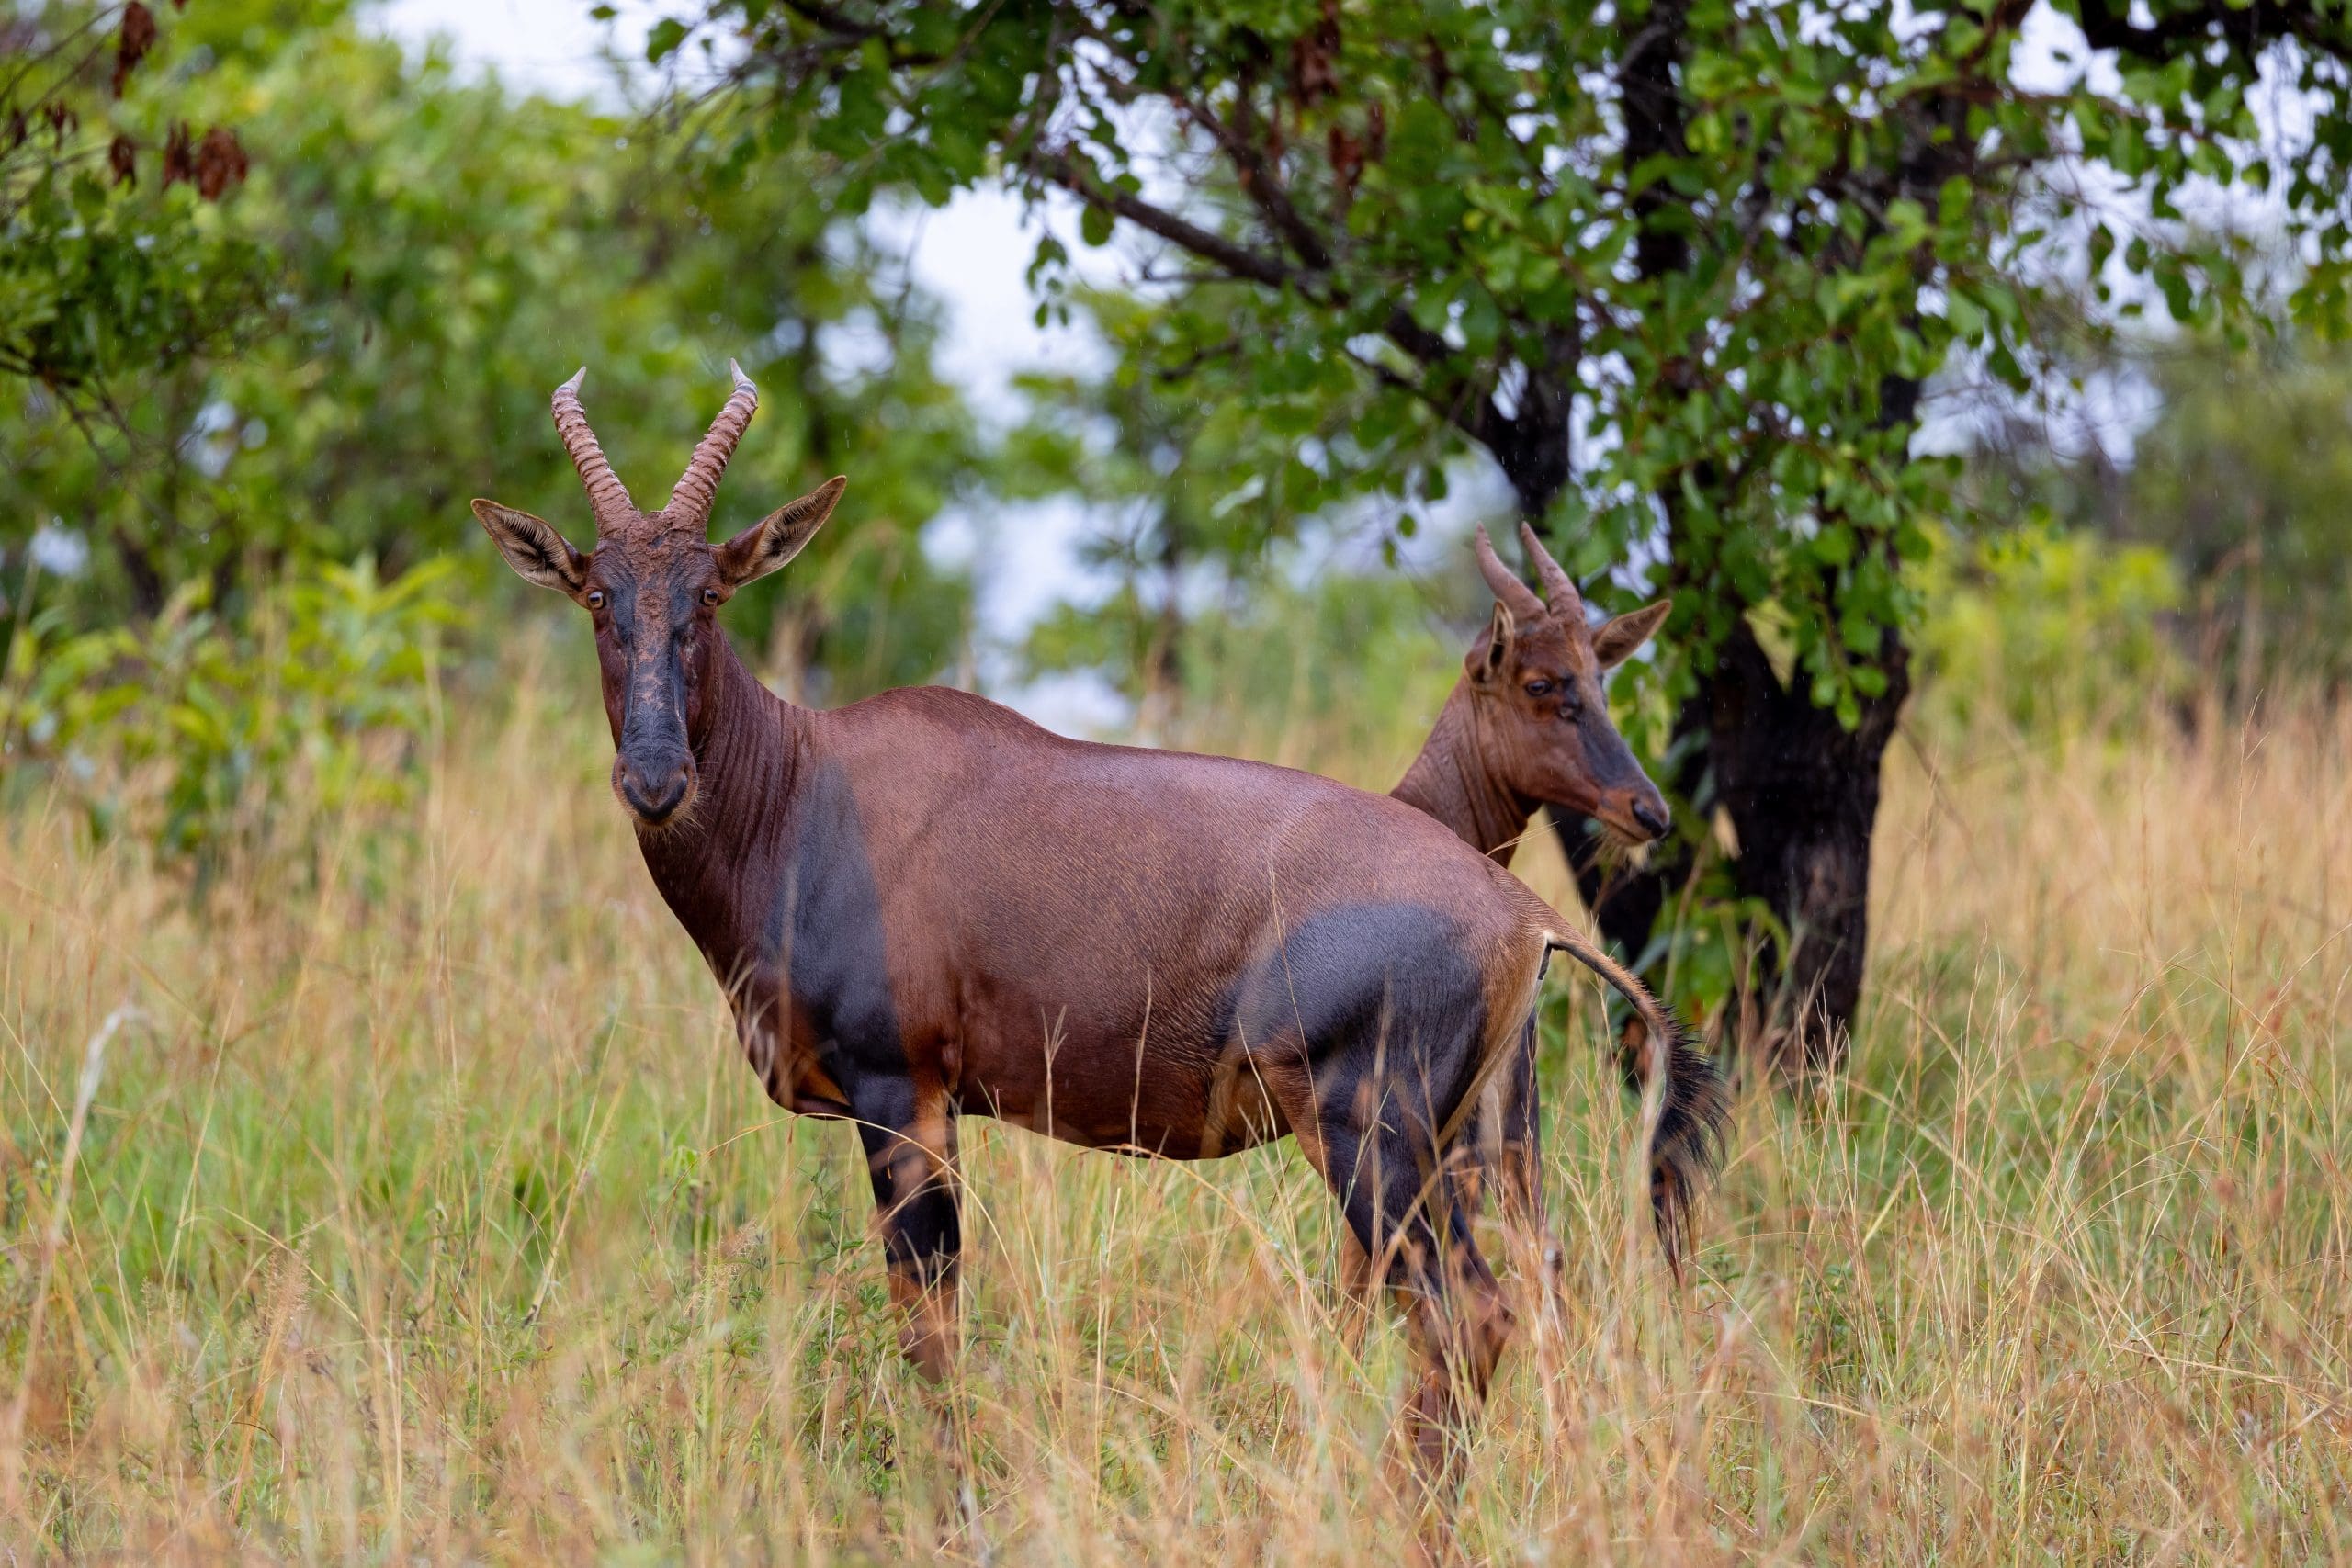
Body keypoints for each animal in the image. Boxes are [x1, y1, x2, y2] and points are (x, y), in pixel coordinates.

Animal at [473, 364, 1729, 1503]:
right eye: (597, 596)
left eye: (711, 598)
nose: (656, 781)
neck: (805, 783)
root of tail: (1526, 913)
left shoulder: (901, 1098)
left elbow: (930, 1329)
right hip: (1471, 1138)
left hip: (1374, 1136)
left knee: (1469, 1313)